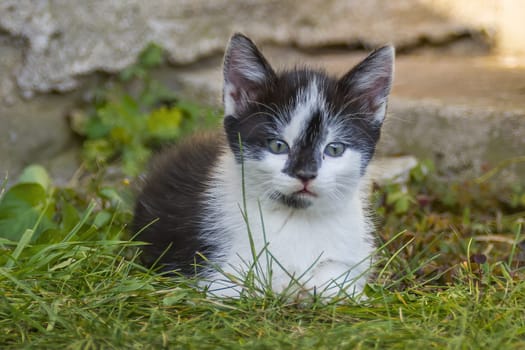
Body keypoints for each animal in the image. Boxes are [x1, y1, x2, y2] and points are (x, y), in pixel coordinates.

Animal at [132, 32, 392, 298]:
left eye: (334, 149)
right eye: (277, 146)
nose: (305, 174)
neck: (297, 217)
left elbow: (338, 277)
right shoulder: (217, 275)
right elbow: (249, 285)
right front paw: (289, 288)